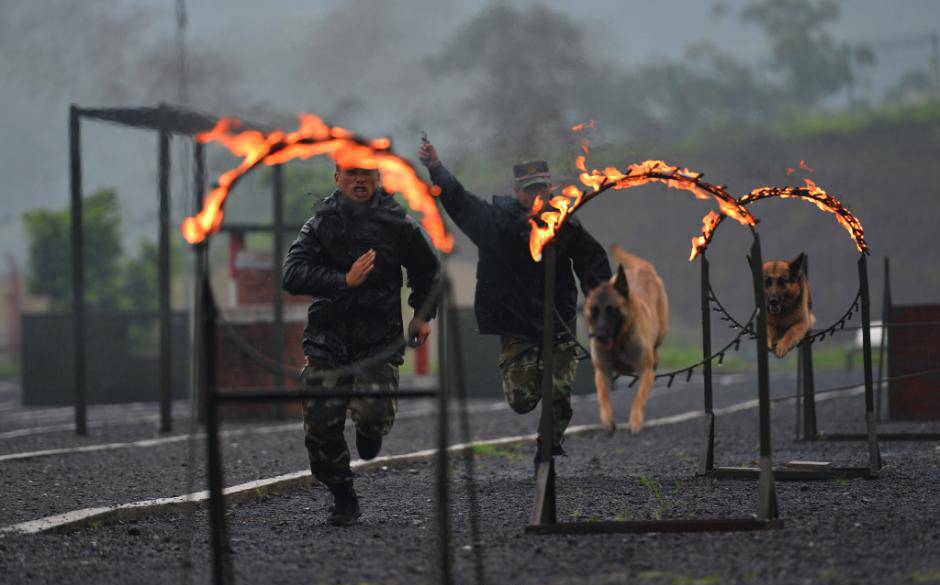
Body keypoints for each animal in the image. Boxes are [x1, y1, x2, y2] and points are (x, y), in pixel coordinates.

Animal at [584, 245, 672, 434]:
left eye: (611, 310)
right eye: (594, 311)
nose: (600, 336)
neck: (619, 341)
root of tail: (643, 268)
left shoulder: (645, 371)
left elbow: (639, 397)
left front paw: (635, 421)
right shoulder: (602, 371)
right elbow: (603, 395)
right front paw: (607, 420)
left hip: (661, 333)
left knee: (656, 352)